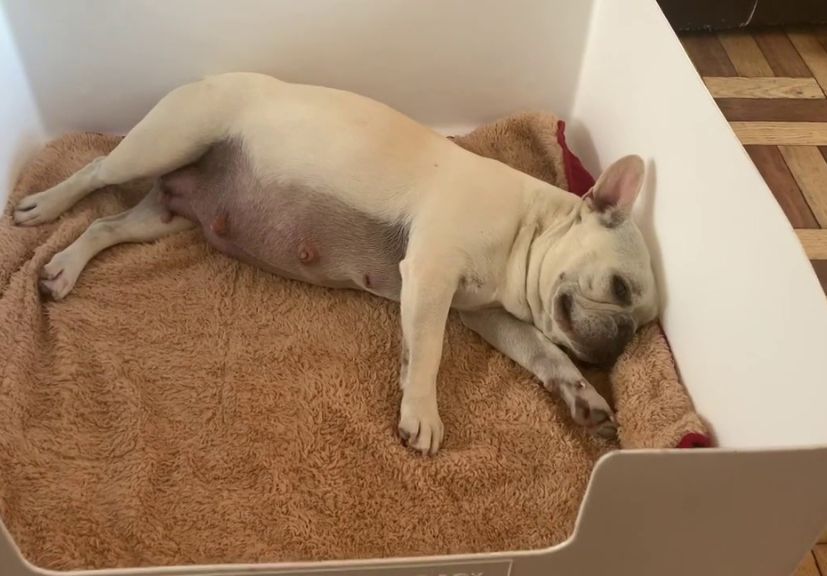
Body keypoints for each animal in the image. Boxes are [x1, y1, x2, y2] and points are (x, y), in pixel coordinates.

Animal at [12, 72, 660, 454]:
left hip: (165, 218)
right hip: (163, 142)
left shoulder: (483, 314)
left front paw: (583, 397)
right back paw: (45, 204)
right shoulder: (431, 273)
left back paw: (63, 268)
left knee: (105, 225)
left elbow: (544, 352)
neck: (529, 228)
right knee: (94, 172)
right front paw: (422, 412)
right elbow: (429, 351)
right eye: (620, 289)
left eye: (645, 324)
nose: (621, 342)